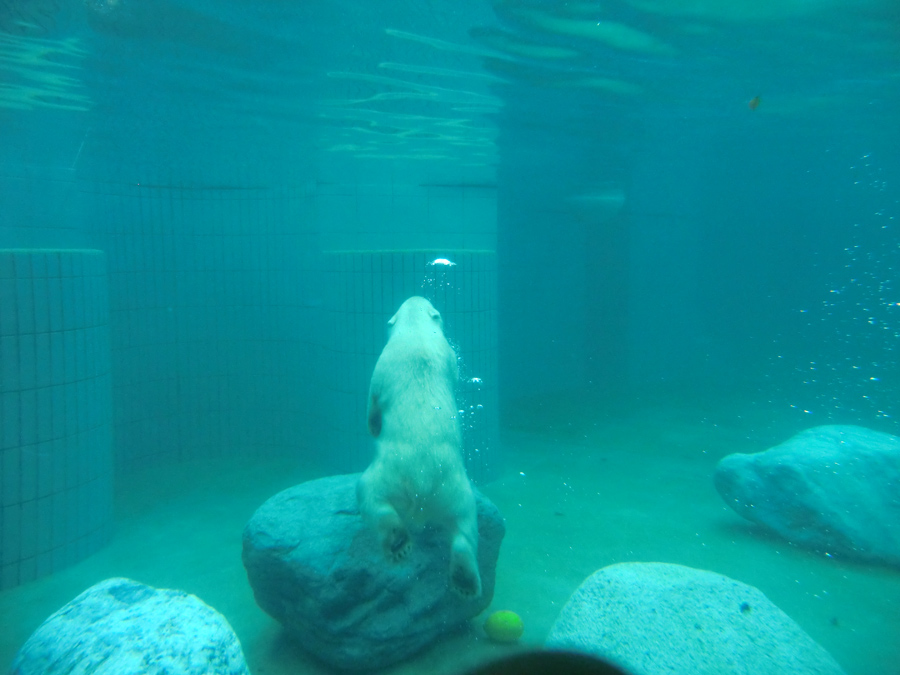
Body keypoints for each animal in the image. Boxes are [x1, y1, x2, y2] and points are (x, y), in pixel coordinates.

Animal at [356, 296, 486, 596]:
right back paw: (465, 580)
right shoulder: (448, 355)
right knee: (465, 523)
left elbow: (373, 399)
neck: (416, 332)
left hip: (389, 473)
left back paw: (397, 543)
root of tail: (421, 481)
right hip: (454, 487)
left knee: (370, 494)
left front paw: (372, 426)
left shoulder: (384, 361)